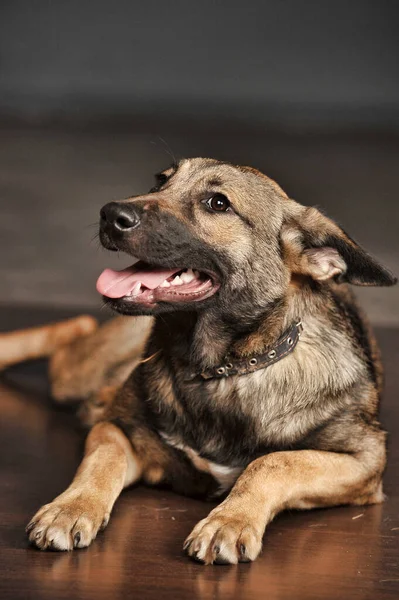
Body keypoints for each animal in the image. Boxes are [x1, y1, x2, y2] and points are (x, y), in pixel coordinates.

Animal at [1, 158, 396, 564]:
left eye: (218, 203)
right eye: (160, 182)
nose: (109, 214)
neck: (221, 369)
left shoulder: (366, 459)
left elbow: (272, 462)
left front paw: (229, 521)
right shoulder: (117, 430)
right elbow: (101, 461)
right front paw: (71, 507)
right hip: (82, 372)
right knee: (67, 348)